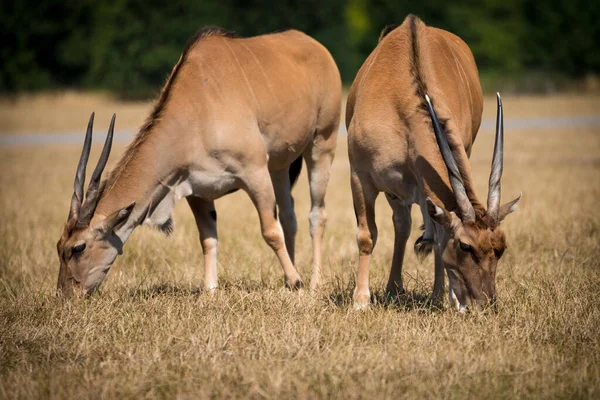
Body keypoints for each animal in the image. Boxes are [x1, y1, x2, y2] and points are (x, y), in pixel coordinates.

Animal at [56, 27, 342, 296]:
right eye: (59, 247)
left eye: (78, 247)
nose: (66, 295)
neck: (196, 106)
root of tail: (317, 48)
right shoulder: (197, 191)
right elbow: (208, 238)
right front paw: (211, 290)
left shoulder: (255, 173)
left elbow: (270, 231)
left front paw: (296, 281)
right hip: (279, 167)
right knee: (289, 216)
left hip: (320, 145)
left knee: (317, 215)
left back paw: (312, 282)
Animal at [346, 14, 520, 310]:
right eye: (465, 245)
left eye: (501, 248)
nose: (485, 304)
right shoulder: (361, 177)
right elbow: (367, 235)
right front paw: (360, 301)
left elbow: (439, 238)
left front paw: (441, 297)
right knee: (402, 224)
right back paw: (393, 289)